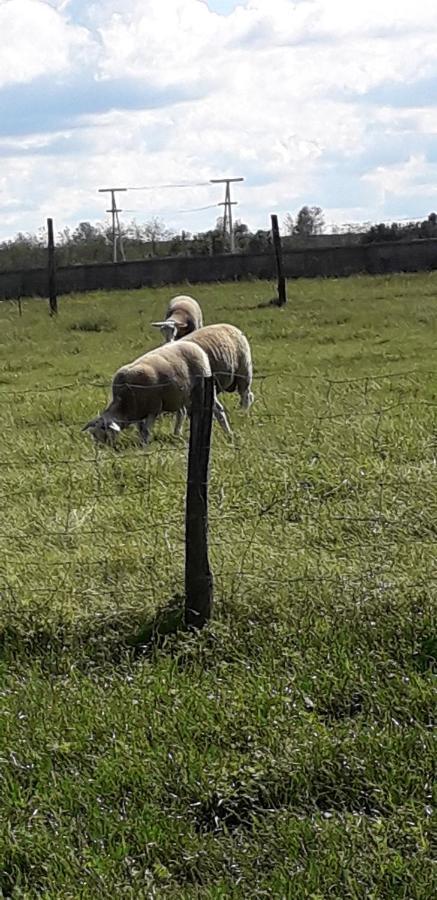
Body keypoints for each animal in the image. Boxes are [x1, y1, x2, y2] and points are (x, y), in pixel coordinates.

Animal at [82, 338, 213, 446]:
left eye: (104, 430)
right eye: (93, 434)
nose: (100, 449)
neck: (125, 402)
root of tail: (195, 346)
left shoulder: (153, 408)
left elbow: (145, 430)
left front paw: (144, 445)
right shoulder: (137, 413)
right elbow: (140, 429)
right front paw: (141, 442)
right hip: (178, 396)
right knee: (182, 412)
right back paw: (176, 434)